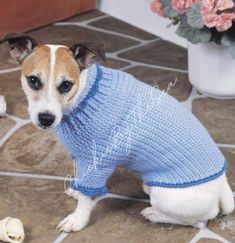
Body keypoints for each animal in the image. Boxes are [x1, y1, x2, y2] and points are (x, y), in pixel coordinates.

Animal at [1, 33, 233, 233]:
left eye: (66, 85)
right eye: (33, 80)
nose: (46, 118)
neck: (85, 96)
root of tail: (223, 187)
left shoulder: (98, 162)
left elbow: (86, 197)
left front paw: (77, 219)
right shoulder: (82, 157)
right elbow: (81, 181)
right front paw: (77, 189)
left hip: (167, 196)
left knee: (199, 221)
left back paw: (155, 214)